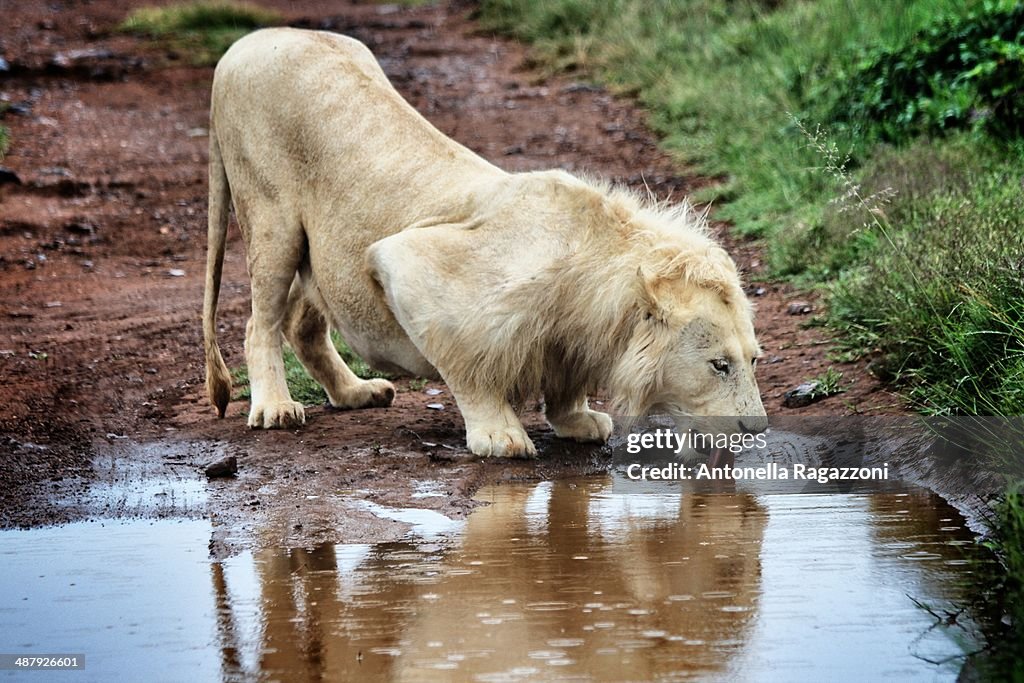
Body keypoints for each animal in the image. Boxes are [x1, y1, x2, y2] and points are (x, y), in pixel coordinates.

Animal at [203, 30, 765, 458]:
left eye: (754, 360)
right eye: (719, 364)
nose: (757, 429)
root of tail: (249, 41)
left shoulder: (575, 338)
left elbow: (567, 381)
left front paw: (578, 420)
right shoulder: (407, 263)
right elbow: (470, 368)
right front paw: (500, 436)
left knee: (301, 321)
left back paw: (355, 392)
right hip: (273, 218)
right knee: (260, 321)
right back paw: (275, 408)